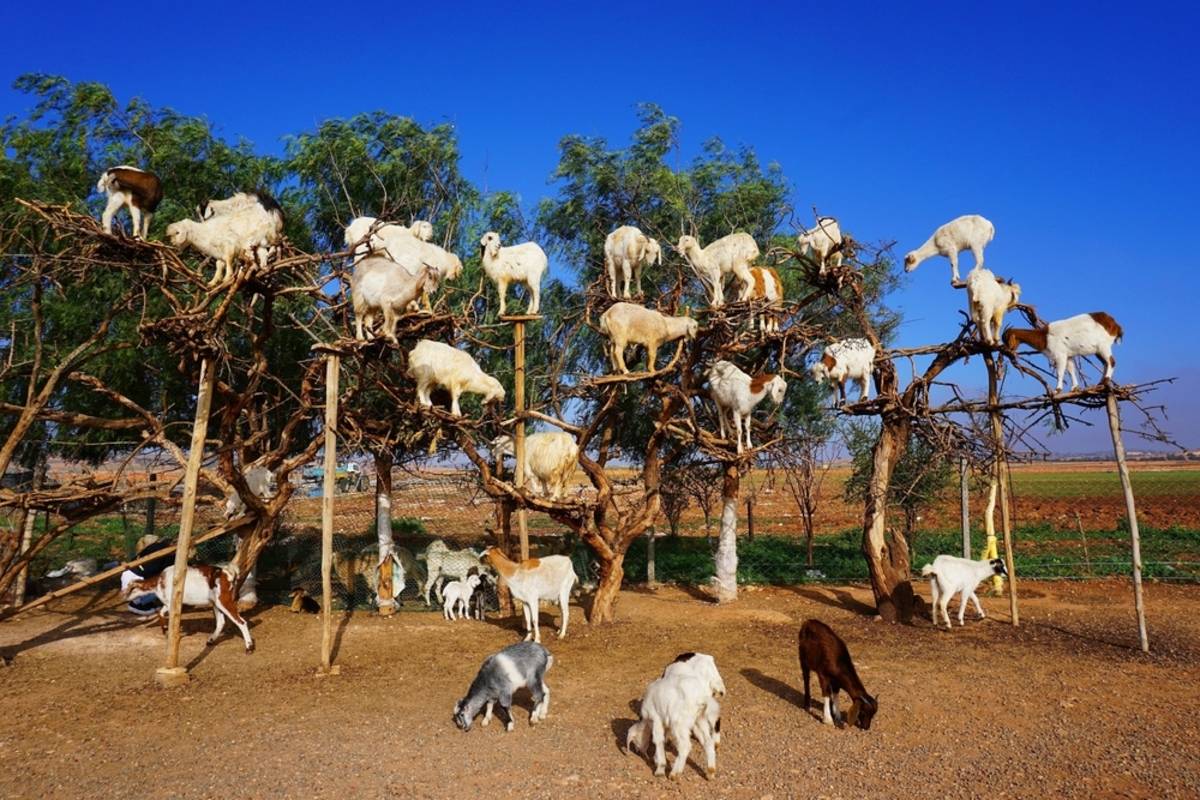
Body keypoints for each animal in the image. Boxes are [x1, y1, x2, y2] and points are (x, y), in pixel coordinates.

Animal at [123, 564, 254, 653]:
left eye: (129, 587)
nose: (123, 595)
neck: (158, 583)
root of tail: (228, 573)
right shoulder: (168, 604)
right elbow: (160, 612)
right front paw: (165, 630)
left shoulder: (172, 603)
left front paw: (170, 633)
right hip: (215, 602)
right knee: (221, 622)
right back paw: (210, 640)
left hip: (224, 600)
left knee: (241, 622)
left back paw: (249, 647)